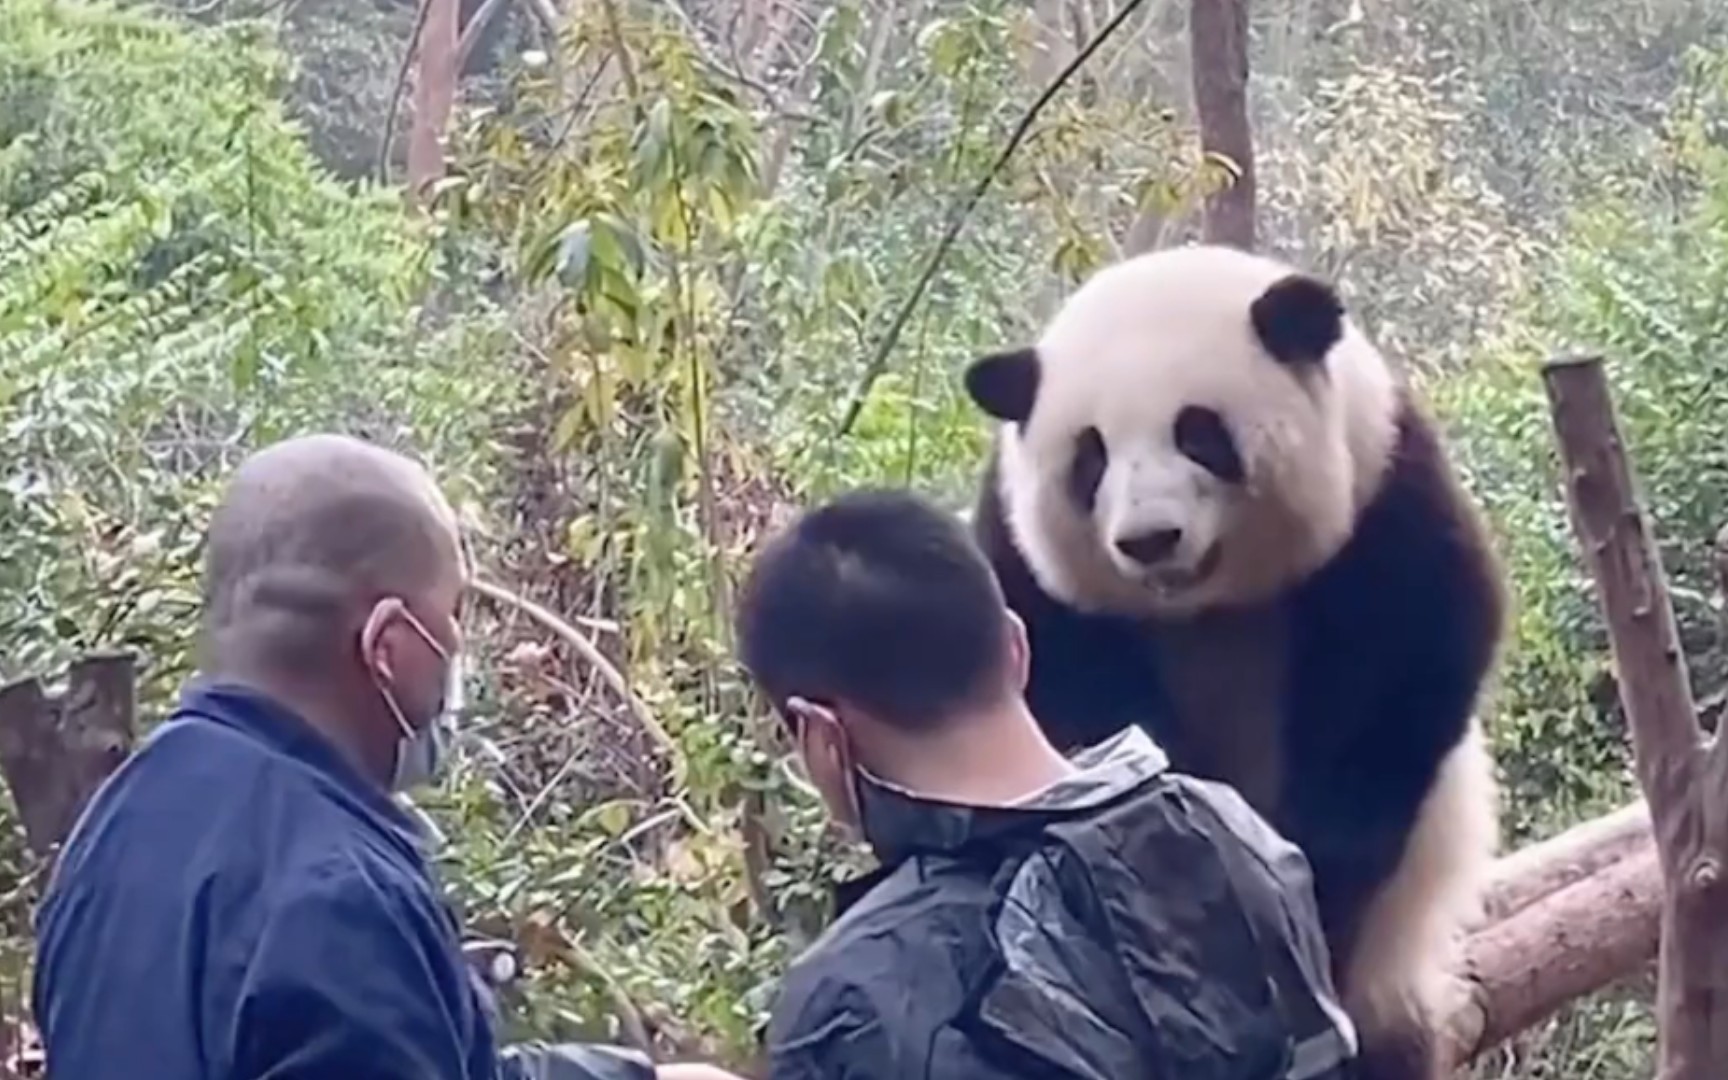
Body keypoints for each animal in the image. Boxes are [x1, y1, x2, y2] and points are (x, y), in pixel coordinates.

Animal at [967, 243, 1506, 1078]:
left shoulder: (1379, 484)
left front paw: (1311, 871)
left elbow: (1412, 658)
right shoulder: (1032, 568)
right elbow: (1075, 708)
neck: (1207, 605)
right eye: (1090, 457)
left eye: (1199, 433)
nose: (1150, 540)